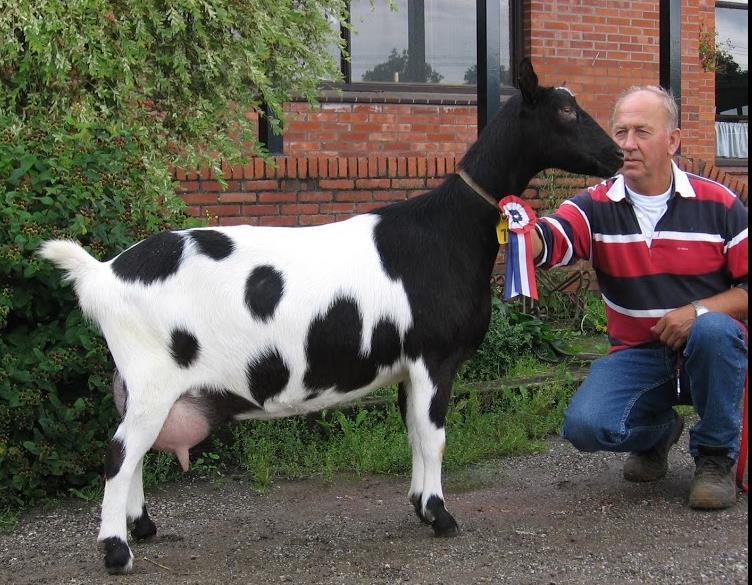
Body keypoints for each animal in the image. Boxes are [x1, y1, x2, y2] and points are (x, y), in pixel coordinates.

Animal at [38, 60, 624, 576]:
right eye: (565, 110)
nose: (617, 152)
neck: (446, 229)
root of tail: (101, 273)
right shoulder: (434, 357)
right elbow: (433, 435)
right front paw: (440, 515)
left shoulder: (407, 365)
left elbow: (413, 433)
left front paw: (420, 505)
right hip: (154, 378)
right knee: (119, 454)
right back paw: (117, 553)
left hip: (136, 383)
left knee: (131, 450)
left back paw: (142, 528)